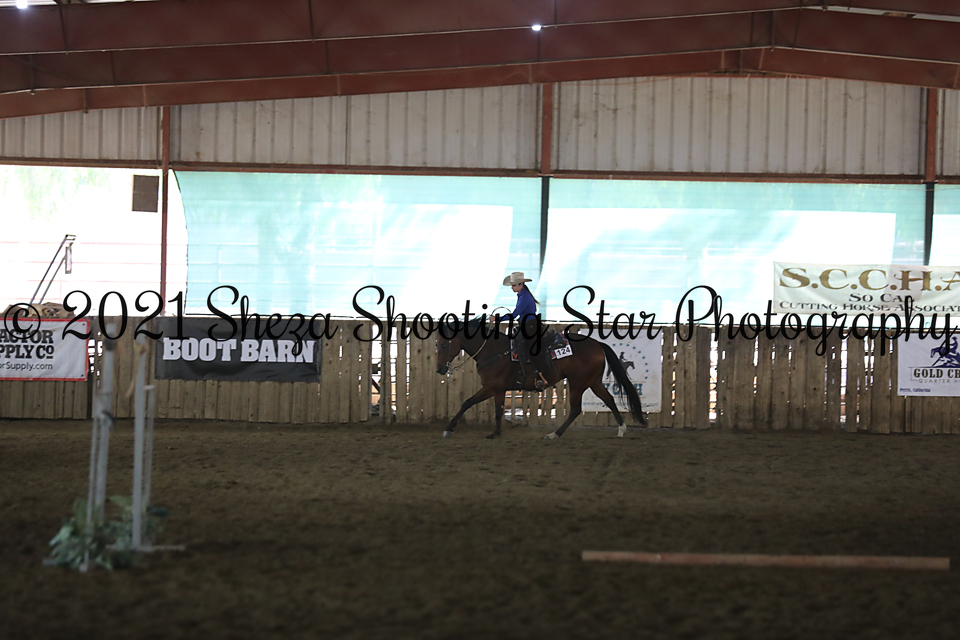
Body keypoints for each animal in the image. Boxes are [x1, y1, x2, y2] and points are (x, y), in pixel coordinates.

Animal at [435, 319, 647, 440]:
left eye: (445, 345)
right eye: (437, 344)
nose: (439, 369)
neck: (493, 351)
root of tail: (598, 344)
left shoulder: (491, 387)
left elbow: (467, 402)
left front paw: (449, 429)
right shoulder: (498, 390)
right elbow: (497, 410)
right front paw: (496, 433)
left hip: (578, 383)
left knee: (576, 409)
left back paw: (554, 434)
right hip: (593, 382)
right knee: (609, 399)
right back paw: (621, 429)